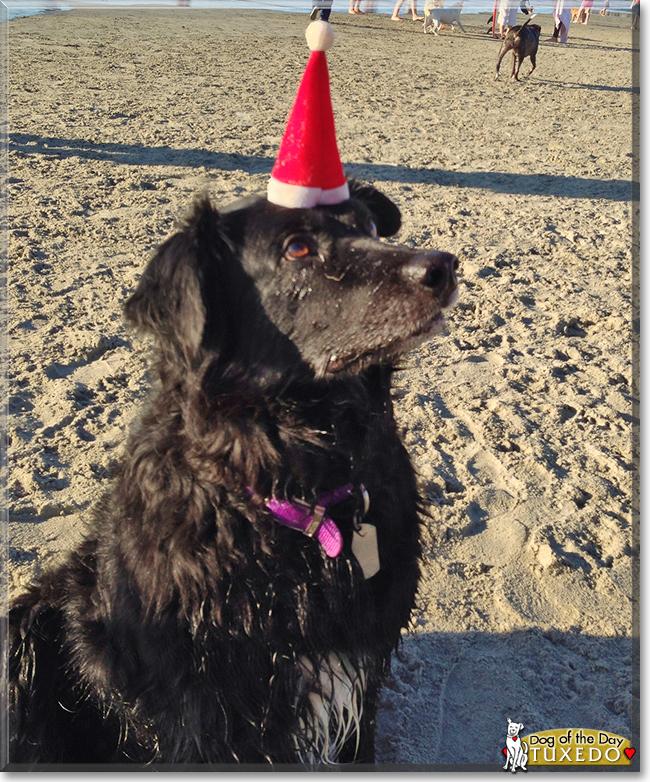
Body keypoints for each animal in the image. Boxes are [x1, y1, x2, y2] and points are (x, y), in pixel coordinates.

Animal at [7, 181, 458, 768]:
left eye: (369, 227)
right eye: (296, 248)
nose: (444, 267)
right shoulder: (206, 720)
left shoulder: (361, 675)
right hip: (29, 627)